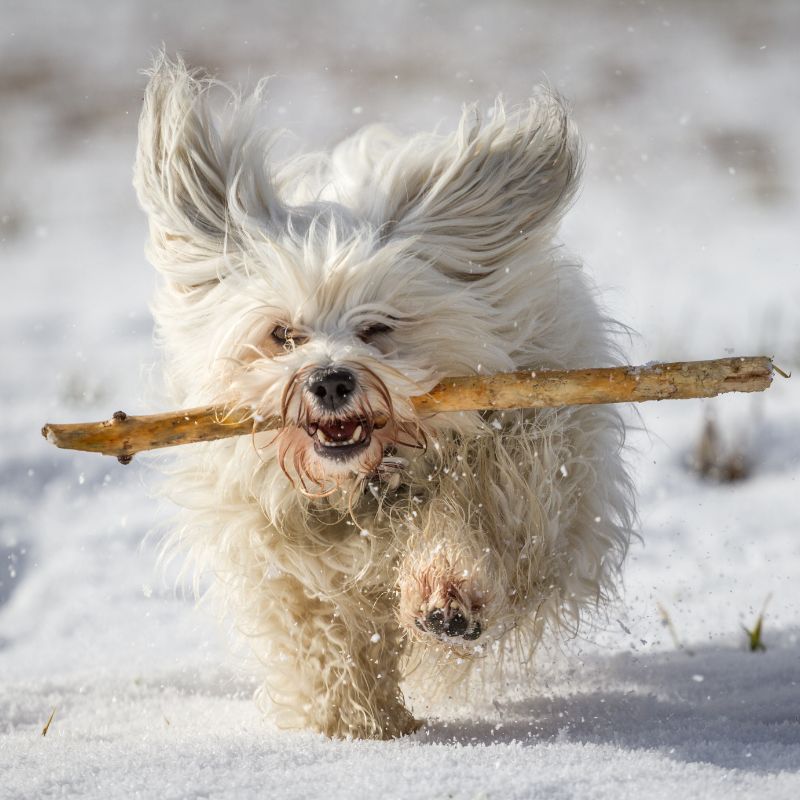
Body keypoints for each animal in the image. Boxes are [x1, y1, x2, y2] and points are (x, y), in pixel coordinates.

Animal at [134, 56, 636, 740]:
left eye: (377, 327)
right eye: (282, 334)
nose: (329, 380)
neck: (368, 485)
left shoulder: (531, 459)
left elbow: (482, 518)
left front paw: (447, 591)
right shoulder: (277, 547)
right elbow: (321, 630)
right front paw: (360, 725)